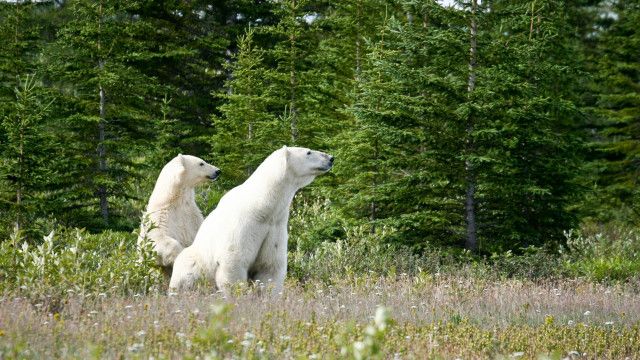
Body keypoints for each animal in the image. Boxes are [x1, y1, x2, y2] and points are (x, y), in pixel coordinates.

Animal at [170, 145, 336, 292]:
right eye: (308, 152)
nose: (331, 158)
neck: (261, 207)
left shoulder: (275, 226)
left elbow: (270, 267)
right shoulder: (244, 225)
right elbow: (234, 262)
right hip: (193, 265)